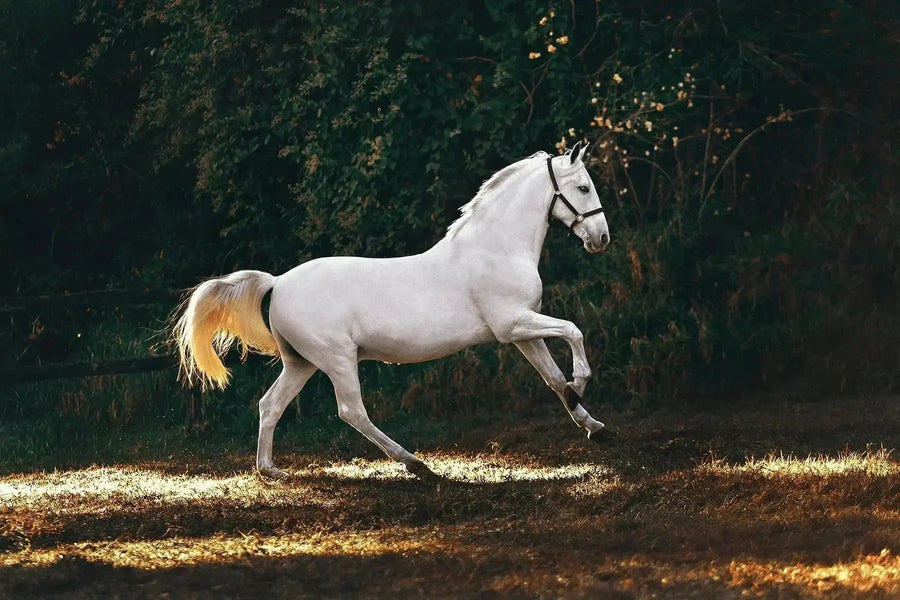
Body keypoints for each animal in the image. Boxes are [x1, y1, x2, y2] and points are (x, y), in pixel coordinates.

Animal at [174, 141, 612, 479]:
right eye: (584, 187)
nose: (602, 238)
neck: (496, 249)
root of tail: (278, 283)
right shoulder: (513, 324)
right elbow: (573, 331)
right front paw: (581, 383)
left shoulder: (523, 332)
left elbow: (553, 378)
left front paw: (593, 425)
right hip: (337, 359)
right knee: (351, 411)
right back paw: (415, 464)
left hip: (301, 362)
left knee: (270, 405)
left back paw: (271, 470)